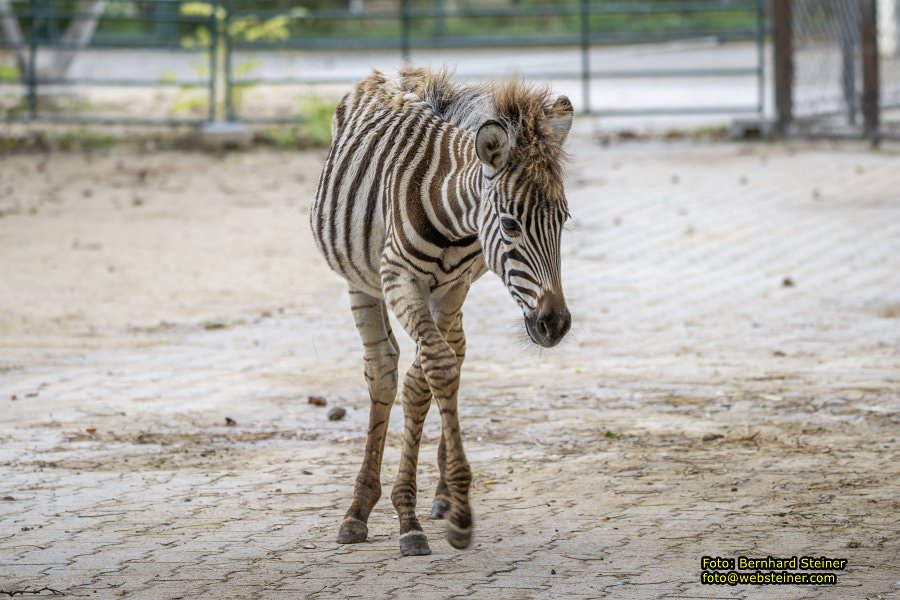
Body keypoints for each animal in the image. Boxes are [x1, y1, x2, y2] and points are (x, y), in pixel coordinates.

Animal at [310, 67, 572, 556]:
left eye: (563, 219)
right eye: (510, 224)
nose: (555, 324)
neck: (452, 217)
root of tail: (396, 74)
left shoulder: (451, 289)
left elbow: (429, 379)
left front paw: (437, 505)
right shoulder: (399, 279)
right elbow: (431, 371)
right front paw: (412, 518)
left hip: (453, 293)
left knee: (453, 353)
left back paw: (440, 497)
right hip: (361, 282)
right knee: (382, 371)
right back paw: (358, 510)